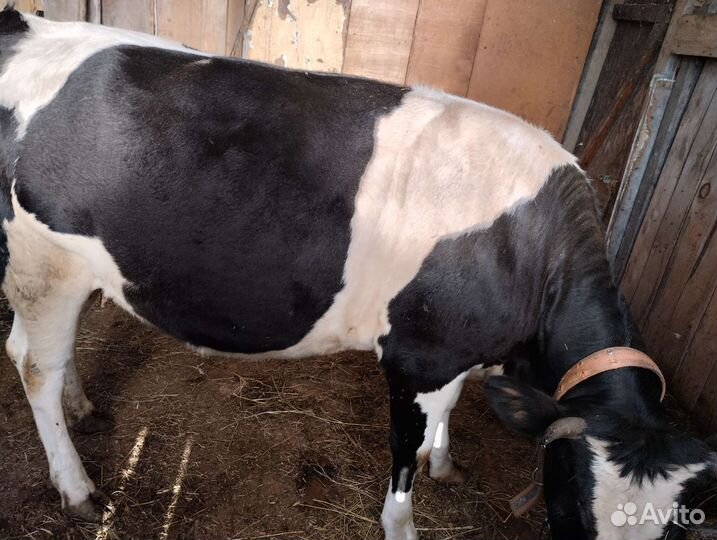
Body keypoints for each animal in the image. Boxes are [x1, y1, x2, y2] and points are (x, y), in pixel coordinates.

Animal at [0, 6, 714, 540]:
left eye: (676, 531)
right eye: (571, 515)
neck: (528, 251)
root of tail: (27, 23)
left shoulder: (455, 350)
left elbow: (445, 418)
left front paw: (444, 462)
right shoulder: (417, 357)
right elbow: (403, 450)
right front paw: (402, 521)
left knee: (41, 352)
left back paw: (82, 405)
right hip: (44, 262)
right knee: (34, 365)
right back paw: (78, 488)